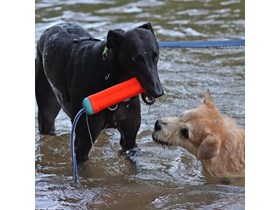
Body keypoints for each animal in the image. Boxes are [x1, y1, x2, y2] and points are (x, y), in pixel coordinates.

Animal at [35, 22, 164, 162]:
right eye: (135, 59)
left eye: (156, 55)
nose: (158, 92)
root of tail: (52, 28)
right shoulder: (82, 144)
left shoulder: (129, 141)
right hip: (47, 109)